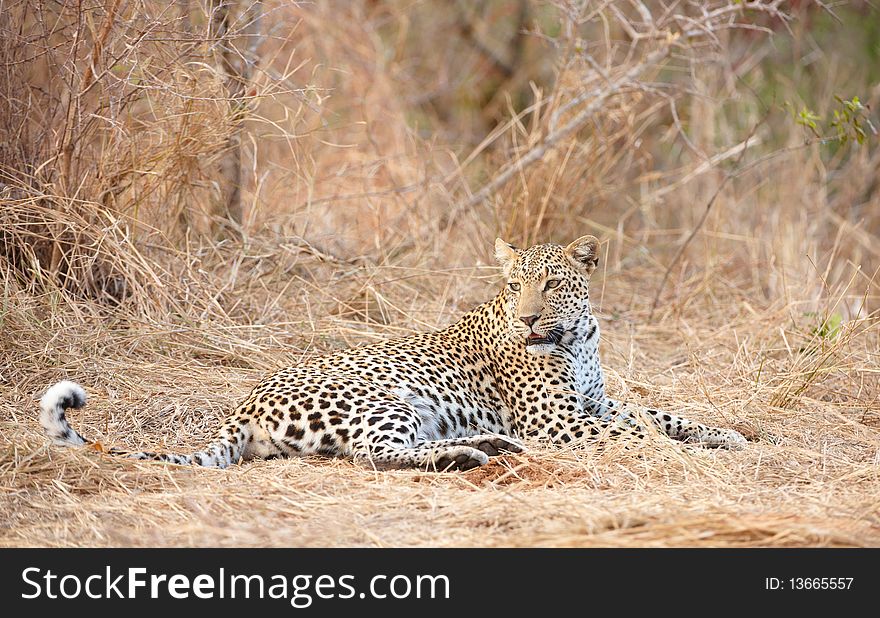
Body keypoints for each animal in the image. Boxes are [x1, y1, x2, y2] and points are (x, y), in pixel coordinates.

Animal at [37, 233, 744, 470]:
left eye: (550, 284)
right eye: (514, 286)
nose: (528, 318)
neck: (576, 338)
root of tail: (242, 407)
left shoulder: (595, 401)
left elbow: (661, 415)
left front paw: (724, 435)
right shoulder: (558, 420)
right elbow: (631, 433)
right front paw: (671, 452)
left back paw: (489, 447)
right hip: (383, 393)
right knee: (377, 454)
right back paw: (471, 454)